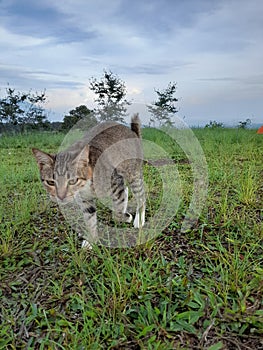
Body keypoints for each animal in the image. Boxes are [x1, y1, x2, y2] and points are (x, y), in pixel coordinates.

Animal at [32, 114, 146, 249]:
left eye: (72, 181)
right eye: (50, 182)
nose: (61, 197)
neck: (86, 185)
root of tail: (131, 131)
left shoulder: (115, 181)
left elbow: (117, 214)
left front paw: (125, 217)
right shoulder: (85, 199)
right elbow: (90, 218)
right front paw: (91, 240)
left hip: (133, 172)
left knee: (141, 195)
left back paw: (139, 219)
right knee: (127, 190)